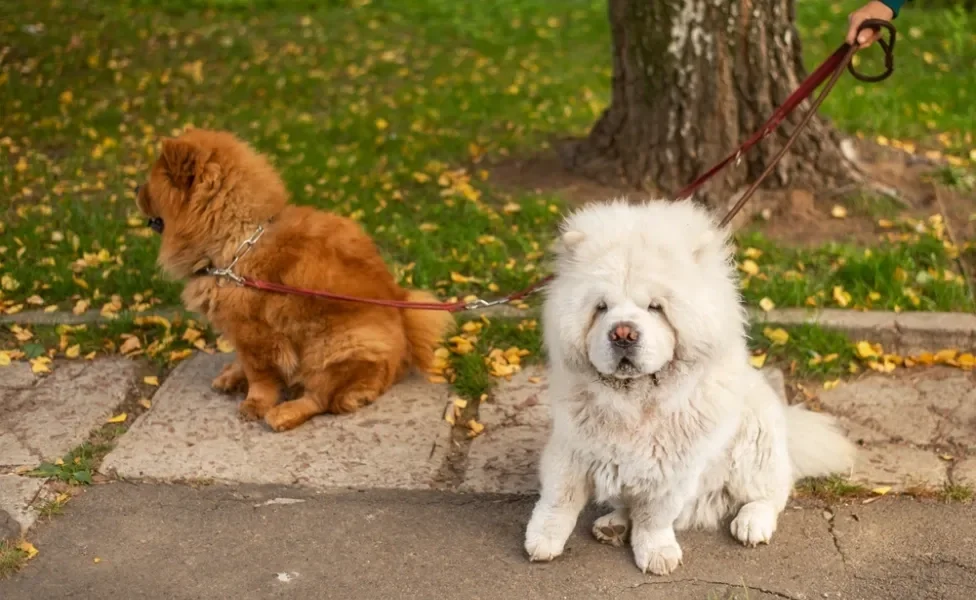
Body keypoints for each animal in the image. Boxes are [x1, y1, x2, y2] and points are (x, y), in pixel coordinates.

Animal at [136, 130, 454, 432]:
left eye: (150, 183)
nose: (135, 189)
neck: (237, 240)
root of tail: (406, 337)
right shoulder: (241, 334)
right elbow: (242, 362)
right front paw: (232, 376)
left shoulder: (254, 334)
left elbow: (260, 376)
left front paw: (255, 403)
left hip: (334, 346)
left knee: (321, 398)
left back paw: (283, 414)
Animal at [528, 200, 856, 576]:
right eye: (601, 308)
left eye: (656, 307)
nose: (623, 333)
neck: (635, 400)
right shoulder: (571, 447)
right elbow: (559, 498)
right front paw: (543, 540)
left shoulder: (674, 466)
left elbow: (654, 517)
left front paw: (657, 553)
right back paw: (614, 523)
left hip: (755, 443)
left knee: (770, 494)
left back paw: (751, 524)